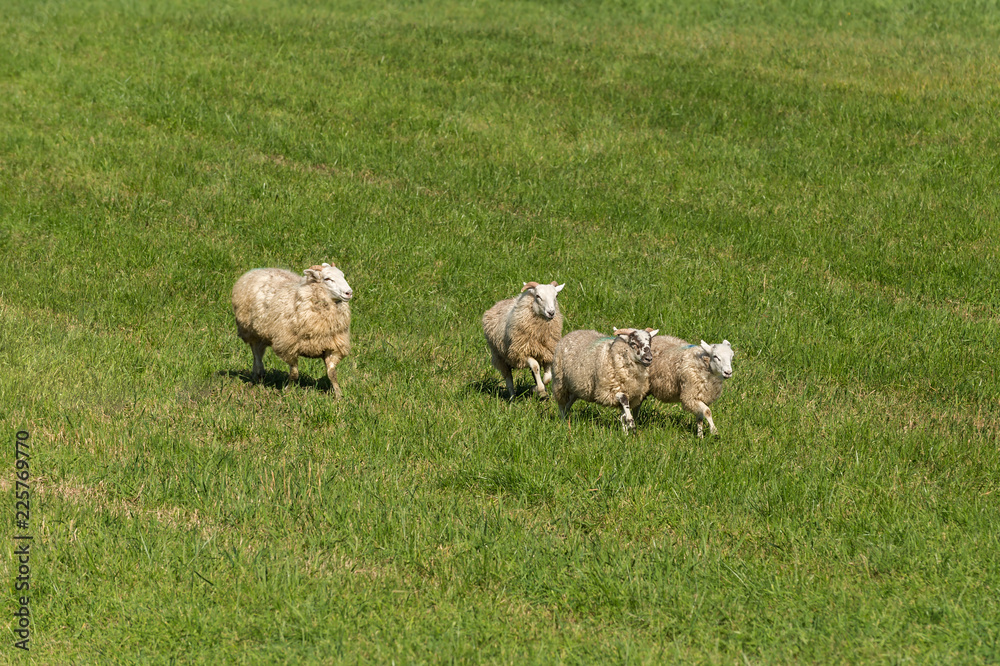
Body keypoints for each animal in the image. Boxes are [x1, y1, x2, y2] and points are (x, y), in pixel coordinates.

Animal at [232, 262, 353, 398]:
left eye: (342, 275)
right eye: (327, 279)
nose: (349, 293)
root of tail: (258, 270)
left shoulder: (332, 346)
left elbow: (332, 374)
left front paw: (339, 395)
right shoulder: (289, 346)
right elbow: (294, 373)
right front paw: (287, 391)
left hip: (263, 333)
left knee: (259, 351)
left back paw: (256, 374)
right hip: (250, 330)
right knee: (256, 352)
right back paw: (259, 374)